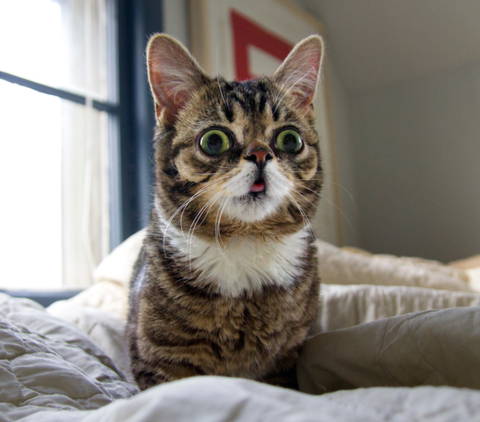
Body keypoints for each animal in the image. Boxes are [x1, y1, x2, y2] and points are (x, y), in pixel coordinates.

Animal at [125, 32, 324, 390]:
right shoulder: (160, 359)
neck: (245, 243)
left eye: (290, 140)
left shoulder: (286, 359)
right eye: (214, 141)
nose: (260, 154)